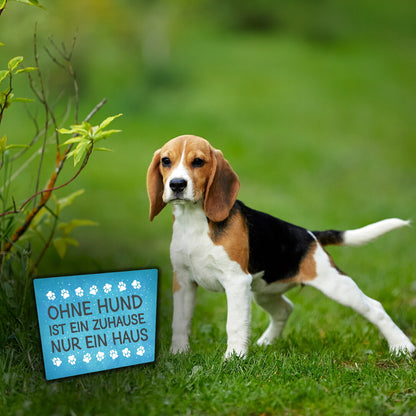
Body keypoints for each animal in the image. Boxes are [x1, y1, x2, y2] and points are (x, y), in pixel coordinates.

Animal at [146, 135, 412, 360]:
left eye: (198, 162)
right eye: (166, 161)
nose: (177, 184)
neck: (194, 221)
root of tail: (311, 235)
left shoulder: (236, 282)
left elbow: (235, 324)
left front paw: (233, 359)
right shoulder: (183, 281)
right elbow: (181, 321)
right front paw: (178, 354)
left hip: (335, 285)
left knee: (374, 307)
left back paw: (402, 347)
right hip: (264, 290)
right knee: (285, 308)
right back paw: (266, 342)